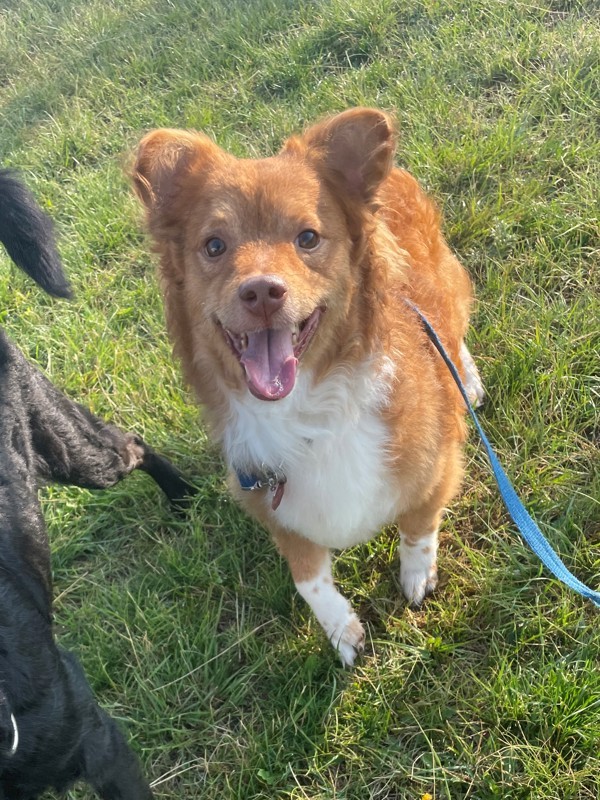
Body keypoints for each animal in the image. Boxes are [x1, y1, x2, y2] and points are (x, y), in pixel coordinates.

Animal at [134, 108, 486, 668]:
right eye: (214, 246)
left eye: (307, 238)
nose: (261, 292)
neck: (307, 412)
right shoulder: (275, 511)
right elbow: (308, 580)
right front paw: (342, 631)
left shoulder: (436, 471)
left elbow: (418, 527)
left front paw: (416, 577)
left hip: (450, 284)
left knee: (454, 331)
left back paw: (467, 378)